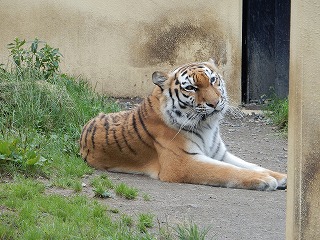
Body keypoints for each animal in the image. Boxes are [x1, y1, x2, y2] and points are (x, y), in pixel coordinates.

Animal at [80, 59, 288, 191]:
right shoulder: (183, 162)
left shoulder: (219, 154)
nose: (215, 103)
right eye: (191, 88)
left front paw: (280, 176)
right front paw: (265, 180)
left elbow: (252, 165)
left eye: (213, 80)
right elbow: (227, 170)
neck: (208, 126)